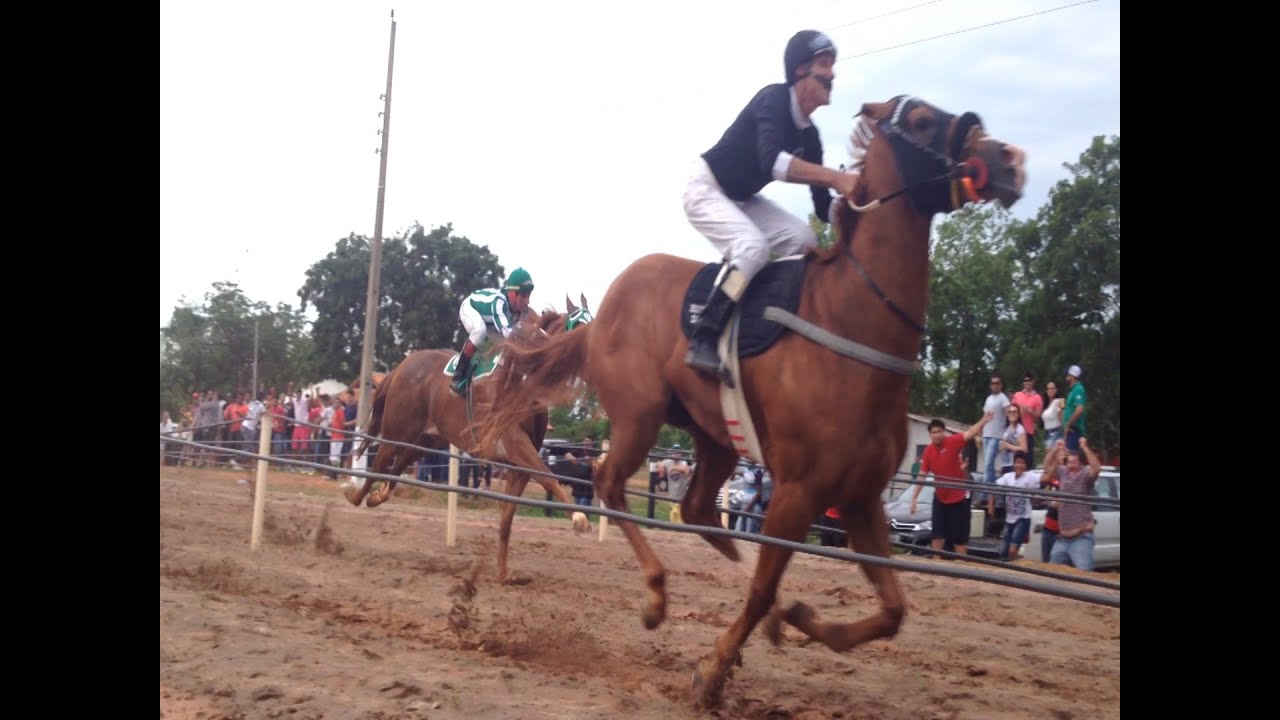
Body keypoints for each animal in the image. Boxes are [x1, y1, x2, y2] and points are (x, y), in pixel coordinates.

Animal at [345, 294, 593, 579]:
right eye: (580, 326)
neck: (524, 378)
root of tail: (402, 366)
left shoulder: (517, 464)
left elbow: (507, 519)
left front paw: (503, 574)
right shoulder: (516, 444)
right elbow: (548, 476)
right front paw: (579, 519)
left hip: (426, 440)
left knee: (396, 468)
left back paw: (376, 496)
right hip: (397, 430)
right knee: (378, 466)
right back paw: (355, 495)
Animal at [478, 92, 1029, 702]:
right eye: (922, 120)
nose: (1008, 159)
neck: (853, 324)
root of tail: (599, 317)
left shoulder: (859, 498)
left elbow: (892, 610)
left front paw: (804, 620)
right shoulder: (797, 491)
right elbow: (766, 588)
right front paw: (713, 669)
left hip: (713, 436)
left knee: (697, 507)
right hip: (641, 416)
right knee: (608, 483)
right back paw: (656, 594)